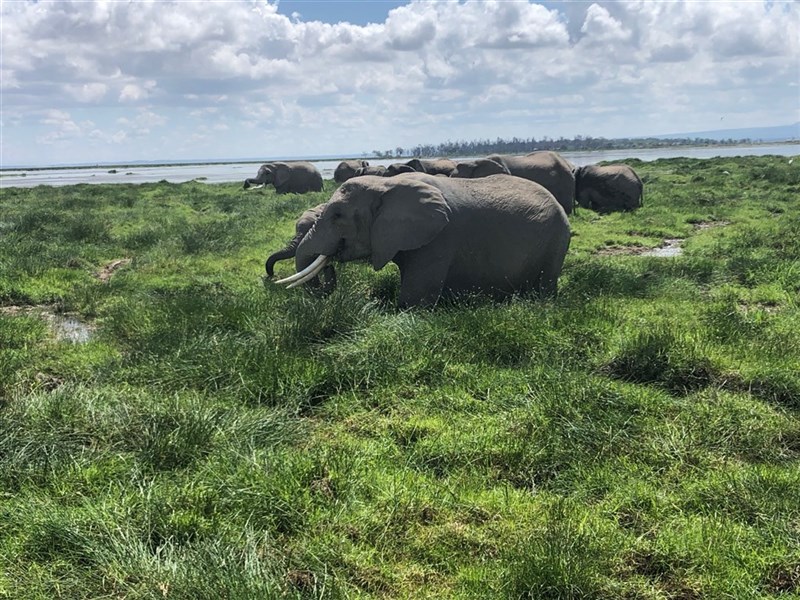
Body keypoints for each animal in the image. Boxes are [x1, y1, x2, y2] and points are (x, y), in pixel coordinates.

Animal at [274, 171, 568, 308]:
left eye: (337, 216)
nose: (331, 266)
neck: (387, 185)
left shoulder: (439, 239)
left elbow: (413, 300)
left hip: (556, 240)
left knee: (546, 284)